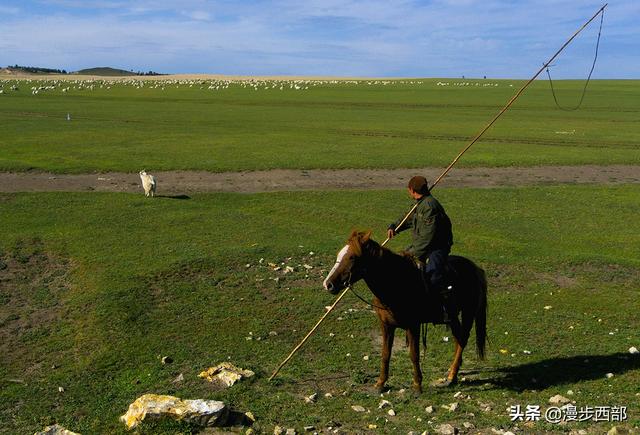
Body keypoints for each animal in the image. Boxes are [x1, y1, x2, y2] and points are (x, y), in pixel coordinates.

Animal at [322, 232, 488, 396]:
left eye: (352, 257)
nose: (328, 284)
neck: (397, 283)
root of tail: (475, 268)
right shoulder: (386, 325)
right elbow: (385, 354)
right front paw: (380, 384)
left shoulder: (413, 325)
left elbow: (414, 355)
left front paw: (417, 386)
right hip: (453, 317)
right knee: (458, 339)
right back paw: (452, 375)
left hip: (468, 312)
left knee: (463, 339)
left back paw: (452, 376)